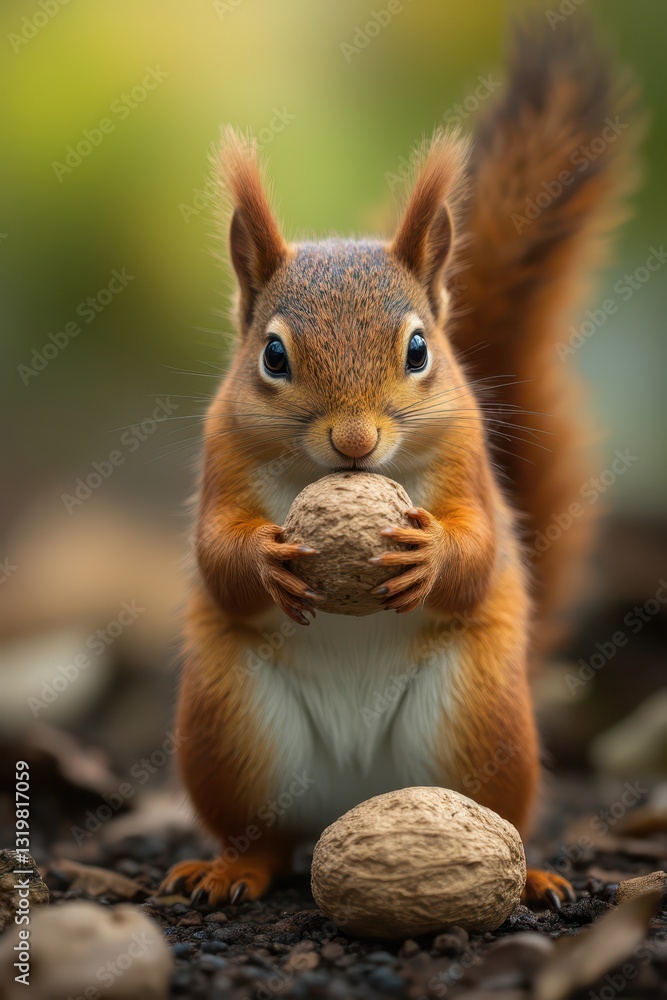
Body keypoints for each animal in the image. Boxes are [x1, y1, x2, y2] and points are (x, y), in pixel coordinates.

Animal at [162, 16, 638, 909]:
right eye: (272, 356)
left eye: (418, 349)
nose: (354, 443)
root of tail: (353, 799)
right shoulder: (220, 460)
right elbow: (216, 556)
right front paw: (268, 561)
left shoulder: (468, 465)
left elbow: (479, 551)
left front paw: (429, 557)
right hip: (232, 731)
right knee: (262, 835)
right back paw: (230, 869)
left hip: (476, 723)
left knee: (495, 816)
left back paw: (530, 875)